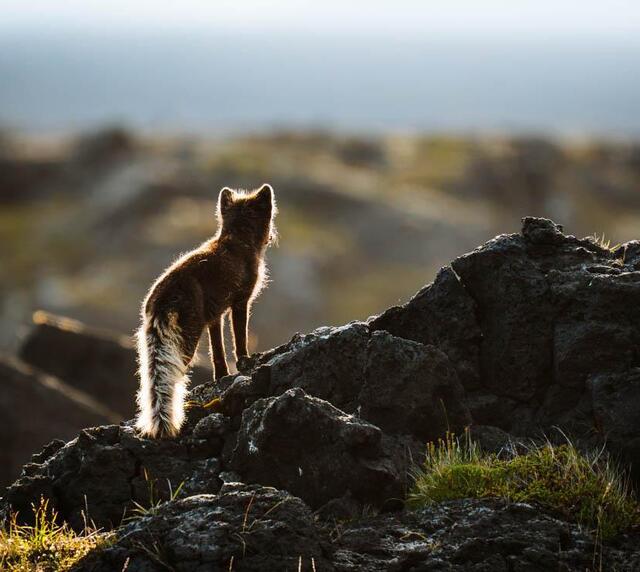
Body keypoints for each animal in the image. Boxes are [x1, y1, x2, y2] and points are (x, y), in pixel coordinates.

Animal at [135, 184, 277, 438]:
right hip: (187, 338)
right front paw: (246, 361)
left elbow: (217, 351)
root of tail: (160, 298)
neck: (237, 240)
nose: (272, 236)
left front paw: (221, 376)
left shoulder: (214, 316)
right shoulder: (241, 302)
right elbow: (240, 338)